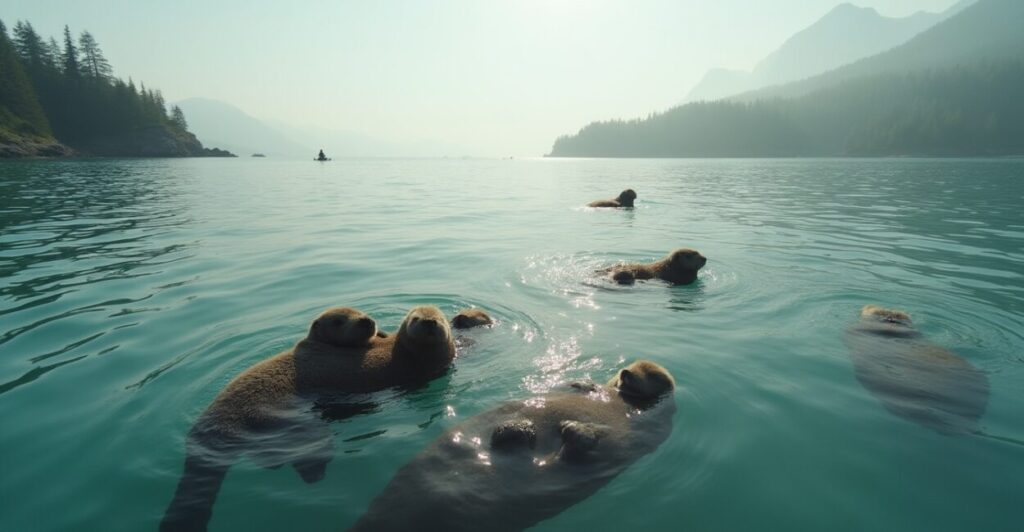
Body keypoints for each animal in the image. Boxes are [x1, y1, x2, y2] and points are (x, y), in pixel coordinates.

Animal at [349, 360, 676, 532]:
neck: (624, 400)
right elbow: (587, 389)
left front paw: (580, 429)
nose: (626, 374)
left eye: (651, 374)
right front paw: (580, 383)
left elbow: (608, 440)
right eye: (629, 367)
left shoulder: (646, 430)